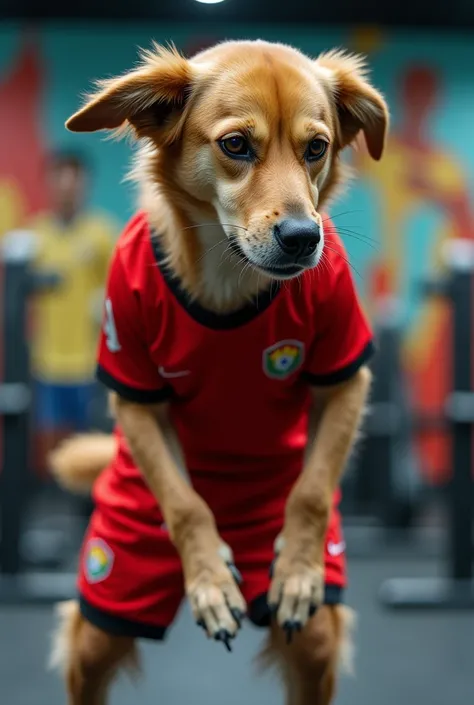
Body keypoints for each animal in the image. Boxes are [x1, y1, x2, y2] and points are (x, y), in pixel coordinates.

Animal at [49, 40, 388, 704]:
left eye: (317, 147)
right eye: (235, 145)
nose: (303, 237)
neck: (231, 274)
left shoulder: (345, 371)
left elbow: (312, 492)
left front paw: (300, 570)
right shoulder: (132, 387)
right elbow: (185, 505)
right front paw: (208, 579)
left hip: (313, 644)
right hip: (109, 593)